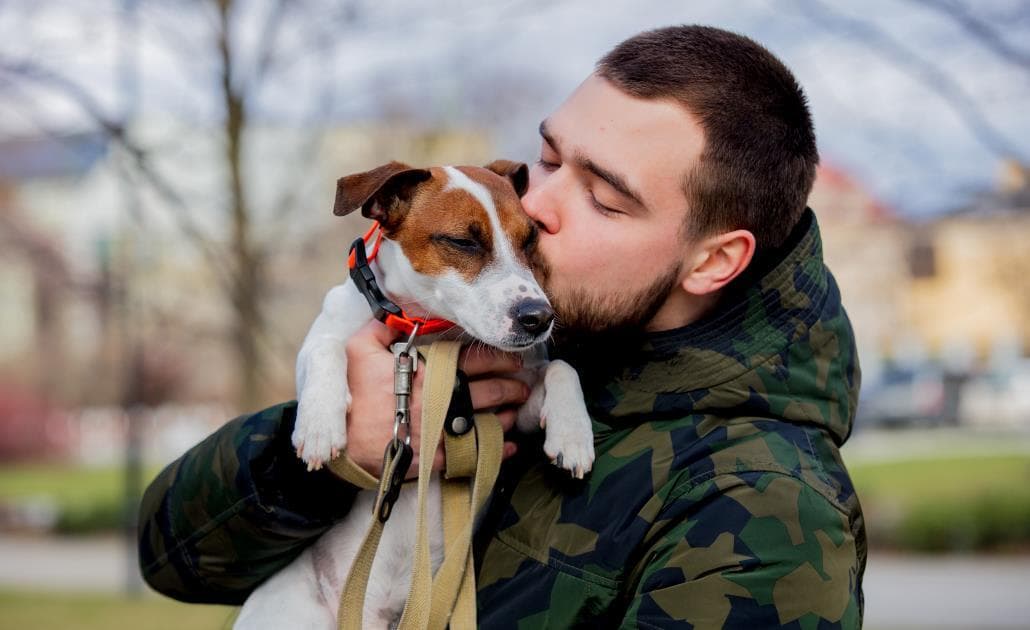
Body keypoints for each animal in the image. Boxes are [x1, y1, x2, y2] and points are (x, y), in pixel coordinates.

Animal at [233, 161, 597, 630]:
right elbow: (326, 348)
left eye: (530, 239)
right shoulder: (318, 345)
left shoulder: (514, 406)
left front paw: (573, 435)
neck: (428, 336)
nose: (539, 317)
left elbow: (561, 368)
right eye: (463, 241)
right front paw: (318, 426)